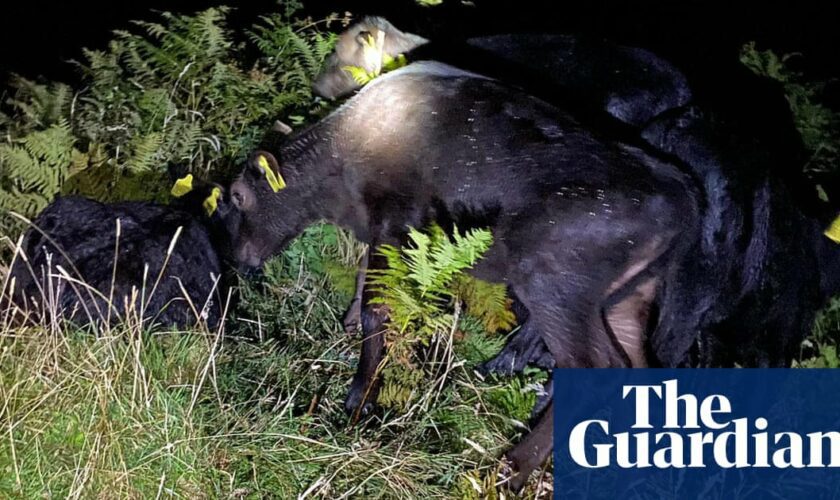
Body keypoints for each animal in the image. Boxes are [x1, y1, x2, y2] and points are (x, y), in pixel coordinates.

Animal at [225, 61, 704, 488]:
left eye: (238, 196)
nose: (238, 258)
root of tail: (681, 194)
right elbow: (363, 287)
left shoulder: (398, 220)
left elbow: (378, 307)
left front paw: (358, 400)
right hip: (625, 300)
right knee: (639, 368)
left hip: (555, 285)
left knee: (596, 367)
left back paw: (509, 469)